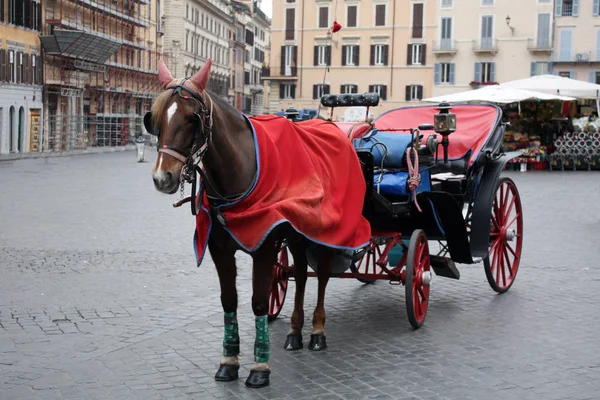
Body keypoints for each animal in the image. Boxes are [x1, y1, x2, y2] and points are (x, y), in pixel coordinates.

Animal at [144, 59, 336, 388]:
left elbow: (258, 302)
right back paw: (294, 332)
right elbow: (229, 301)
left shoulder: (265, 248)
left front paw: (259, 367)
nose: (162, 177)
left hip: (319, 233)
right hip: (296, 235)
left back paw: (318, 331)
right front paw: (229, 361)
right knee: (299, 272)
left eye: (192, 119)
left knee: (321, 274)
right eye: (154, 118)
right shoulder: (219, 249)